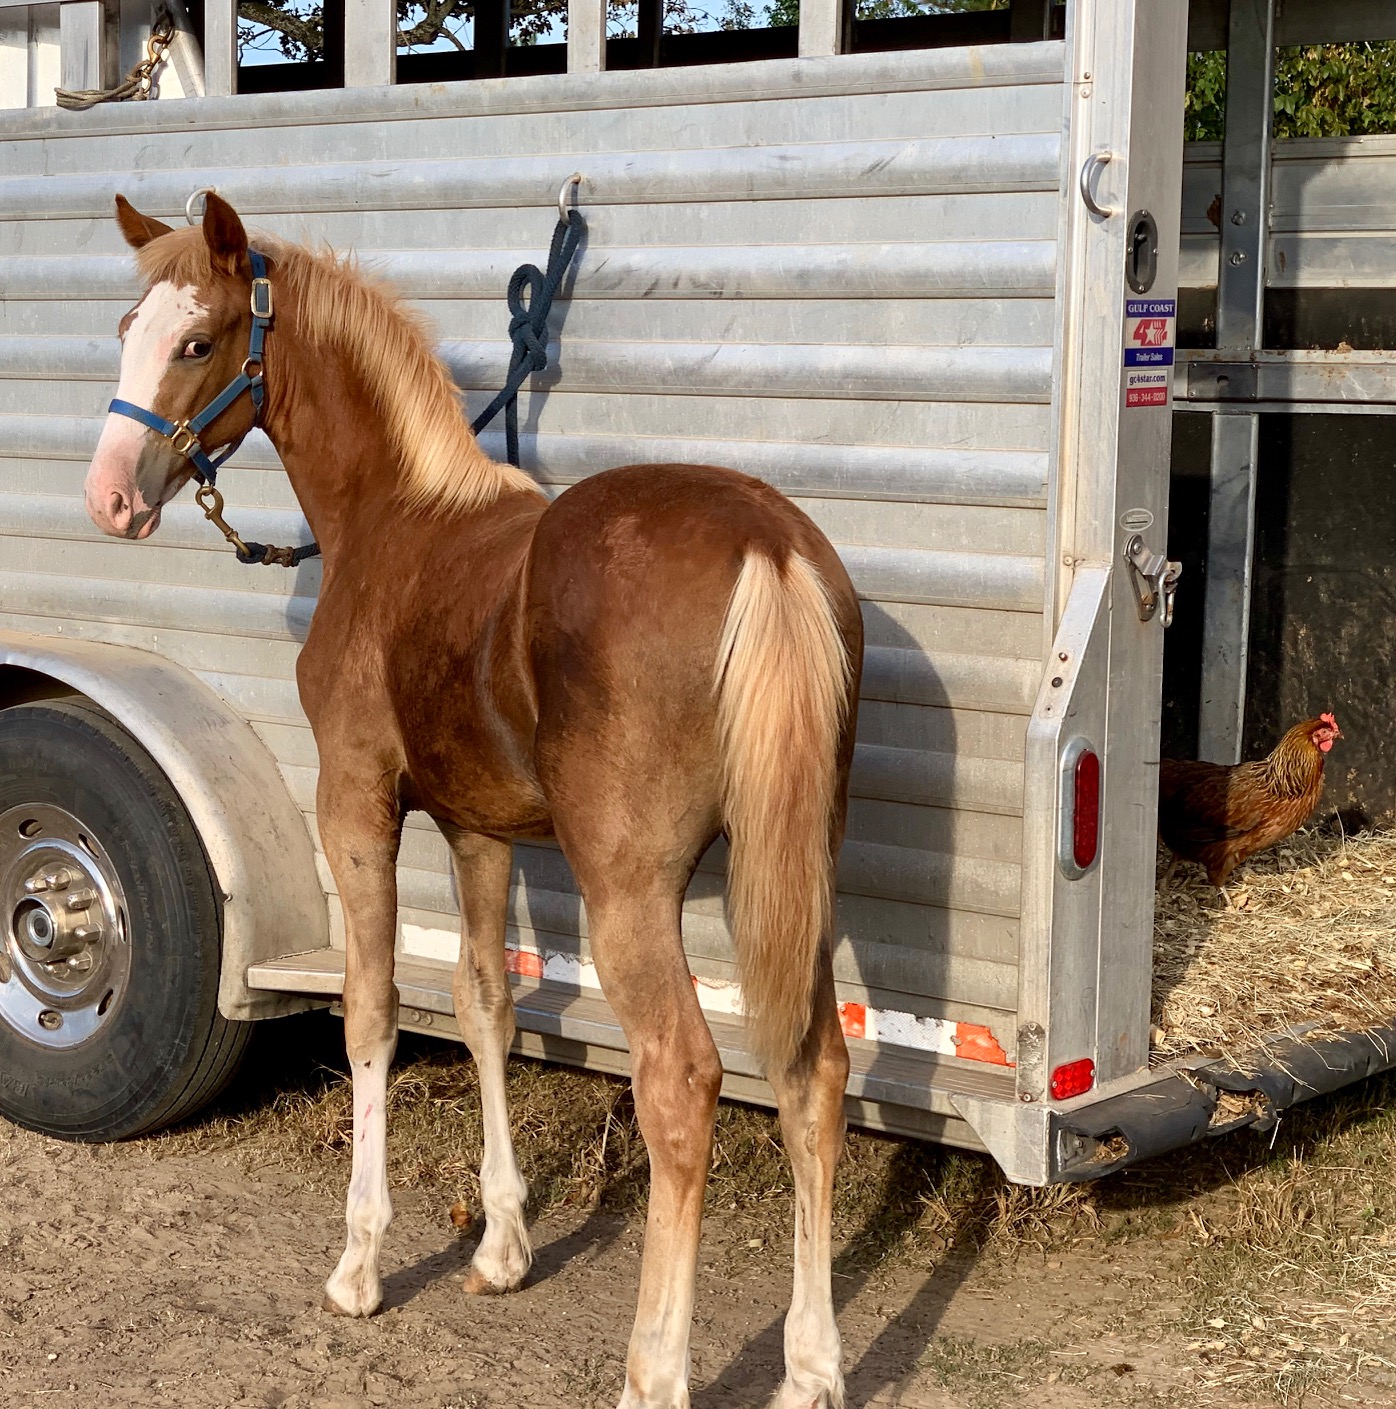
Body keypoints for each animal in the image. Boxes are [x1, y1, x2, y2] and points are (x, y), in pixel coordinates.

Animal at [81, 198, 862, 1409]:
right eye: (127, 326)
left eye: (197, 340)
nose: (111, 496)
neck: (396, 519)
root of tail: (767, 548)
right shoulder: (477, 829)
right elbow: (487, 1002)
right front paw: (501, 1247)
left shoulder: (356, 802)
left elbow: (373, 1009)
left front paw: (359, 1260)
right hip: (791, 870)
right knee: (811, 1073)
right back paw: (812, 1366)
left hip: (630, 888)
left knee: (681, 1080)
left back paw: (654, 1369)